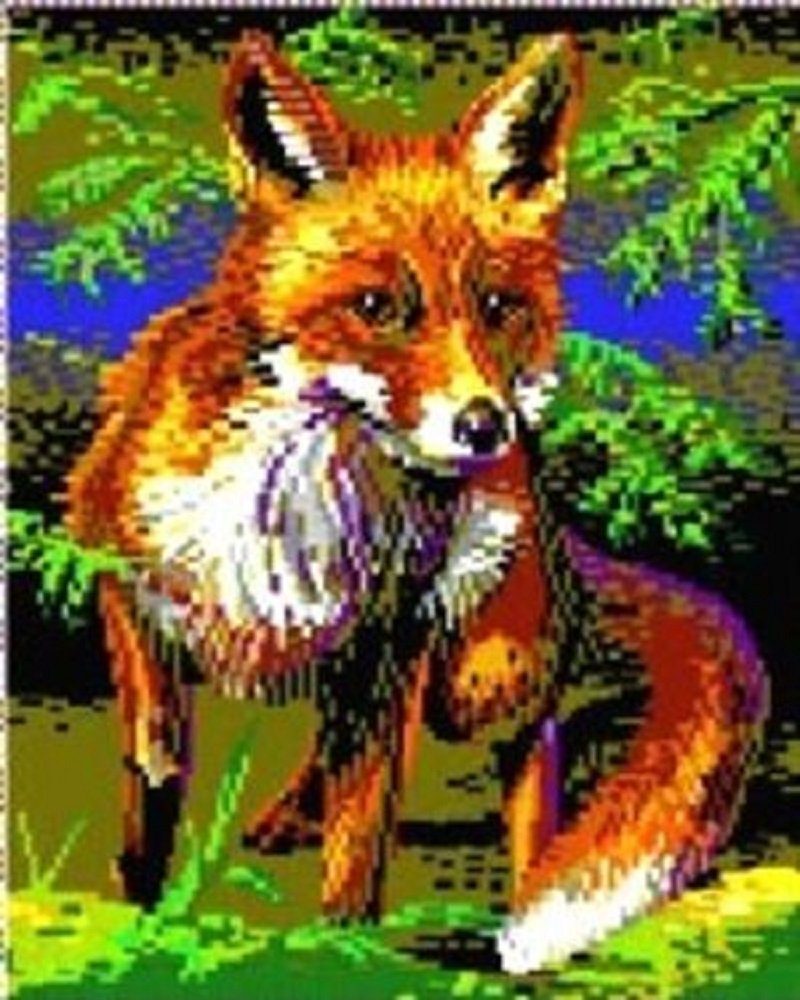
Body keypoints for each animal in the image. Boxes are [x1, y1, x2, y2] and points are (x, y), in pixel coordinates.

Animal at [65, 31, 766, 973]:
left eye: (498, 306)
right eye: (377, 307)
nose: (486, 425)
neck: (296, 508)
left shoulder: (386, 652)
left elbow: (361, 837)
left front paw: (335, 953)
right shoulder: (124, 579)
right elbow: (156, 766)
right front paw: (139, 909)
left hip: (475, 678)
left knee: (530, 758)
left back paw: (526, 907)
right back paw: (290, 815)